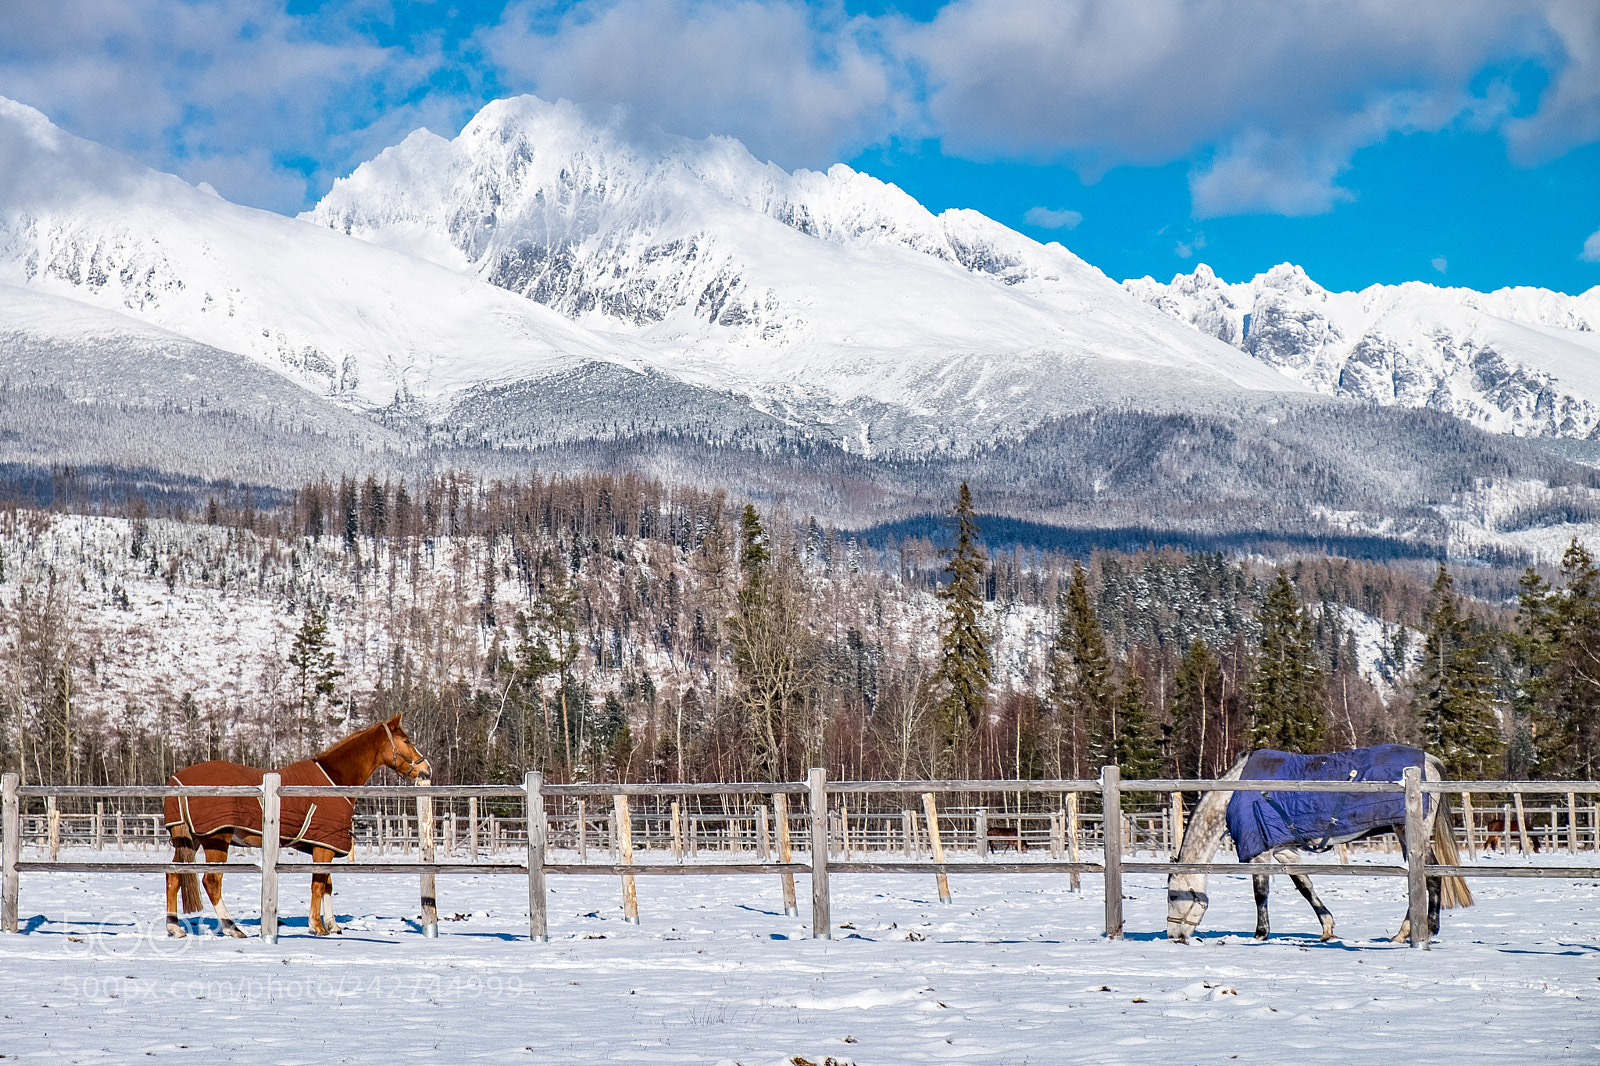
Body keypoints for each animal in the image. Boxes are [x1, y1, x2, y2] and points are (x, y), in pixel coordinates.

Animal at [163, 715, 430, 938]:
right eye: (406, 740)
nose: (426, 769)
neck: (334, 780)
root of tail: (177, 782)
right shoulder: (324, 847)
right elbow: (318, 885)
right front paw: (317, 926)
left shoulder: (324, 845)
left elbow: (328, 885)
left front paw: (332, 924)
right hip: (216, 839)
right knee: (211, 881)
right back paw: (231, 928)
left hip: (189, 840)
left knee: (173, 875)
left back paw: (175, 927)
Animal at [1167, 745, 1473, 943]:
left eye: (1172, 897)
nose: (1174, 936)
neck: (1235, 794)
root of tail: (1428, 761)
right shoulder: (1285, 851)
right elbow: (1305, 887)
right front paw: (1327, 928)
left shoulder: (1259, 853)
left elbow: (1260, 893)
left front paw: (1260, 935)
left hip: (1408, 833)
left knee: (1430, 876)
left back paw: (1422, 930)